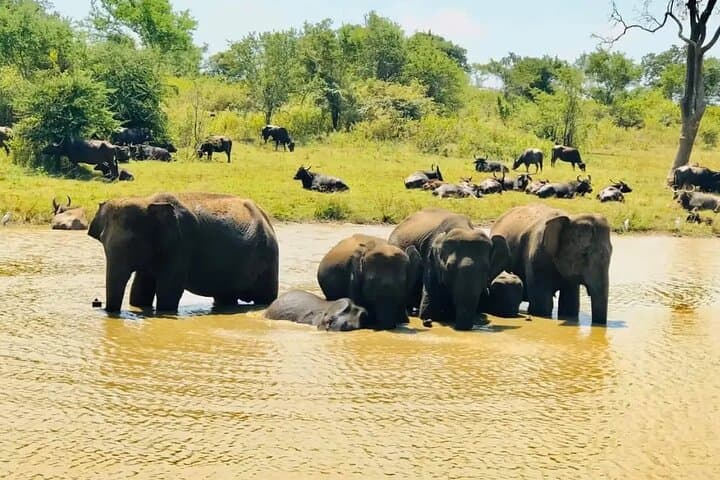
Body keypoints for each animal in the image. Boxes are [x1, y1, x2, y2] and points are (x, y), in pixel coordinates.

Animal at [88, 192, 279, 313]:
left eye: (133, 241)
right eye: (102, 240)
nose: (97, 303)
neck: (148, 200)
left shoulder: (180, 244)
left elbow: (168, 292)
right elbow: (139, 292)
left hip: (268, 259)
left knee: (264, 298)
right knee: (225, 298)